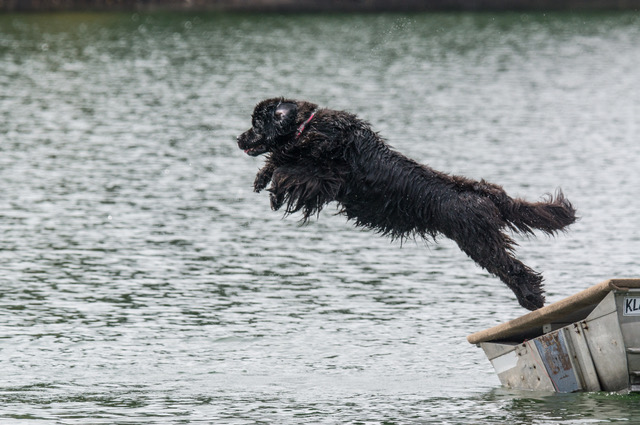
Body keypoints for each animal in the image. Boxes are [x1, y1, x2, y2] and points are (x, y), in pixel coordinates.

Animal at [237, 97, 577, 310]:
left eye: (256, 124)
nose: (238, 139)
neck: (307, 126)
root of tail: (480, 191)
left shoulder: (326, 179)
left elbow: (288, 168)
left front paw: (272, 188)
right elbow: (282, 161)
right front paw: (264, 179)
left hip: (479, 241)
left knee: (515, 269)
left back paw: (532, 300)